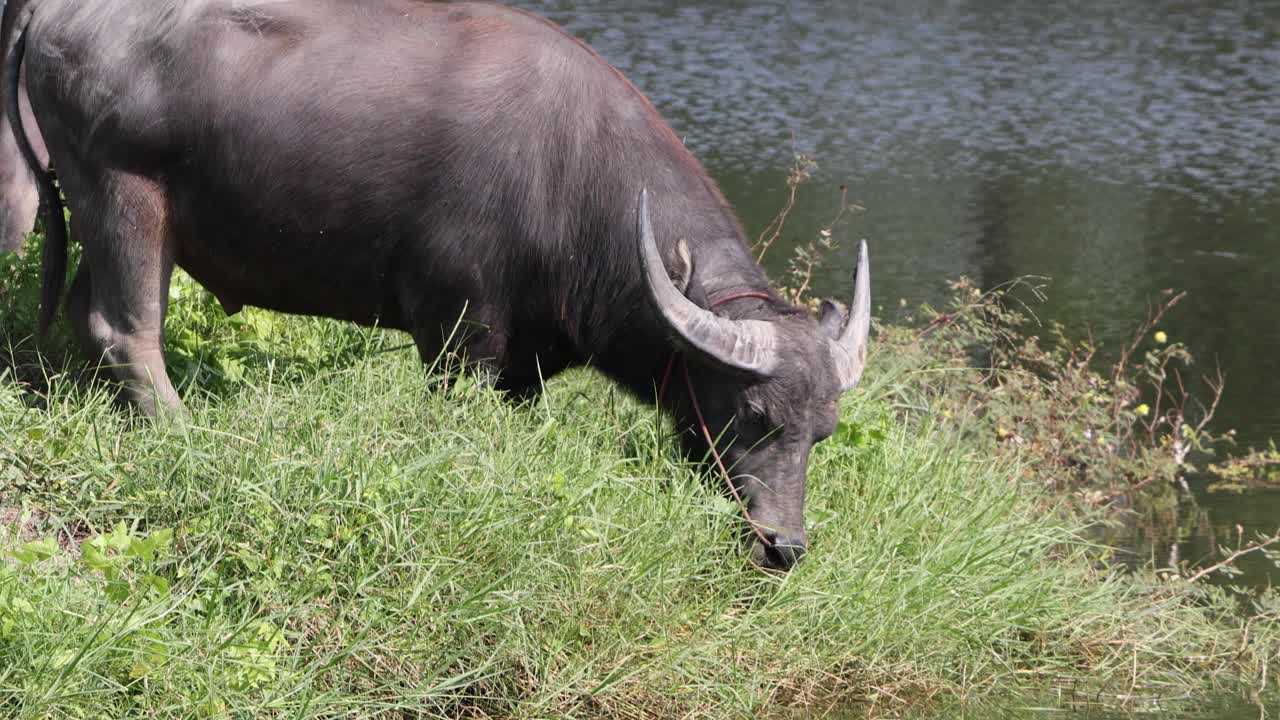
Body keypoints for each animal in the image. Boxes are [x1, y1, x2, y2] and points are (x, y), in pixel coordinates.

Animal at [2, 1, 870, 571]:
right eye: (753, 416)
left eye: (822, 433)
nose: (784, 545)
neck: (573, 177)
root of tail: (55, 10)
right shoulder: (457, 330)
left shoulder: (524, 363)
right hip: (125, 194)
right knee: (124, 327)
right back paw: (181, 431)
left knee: (83, 314)